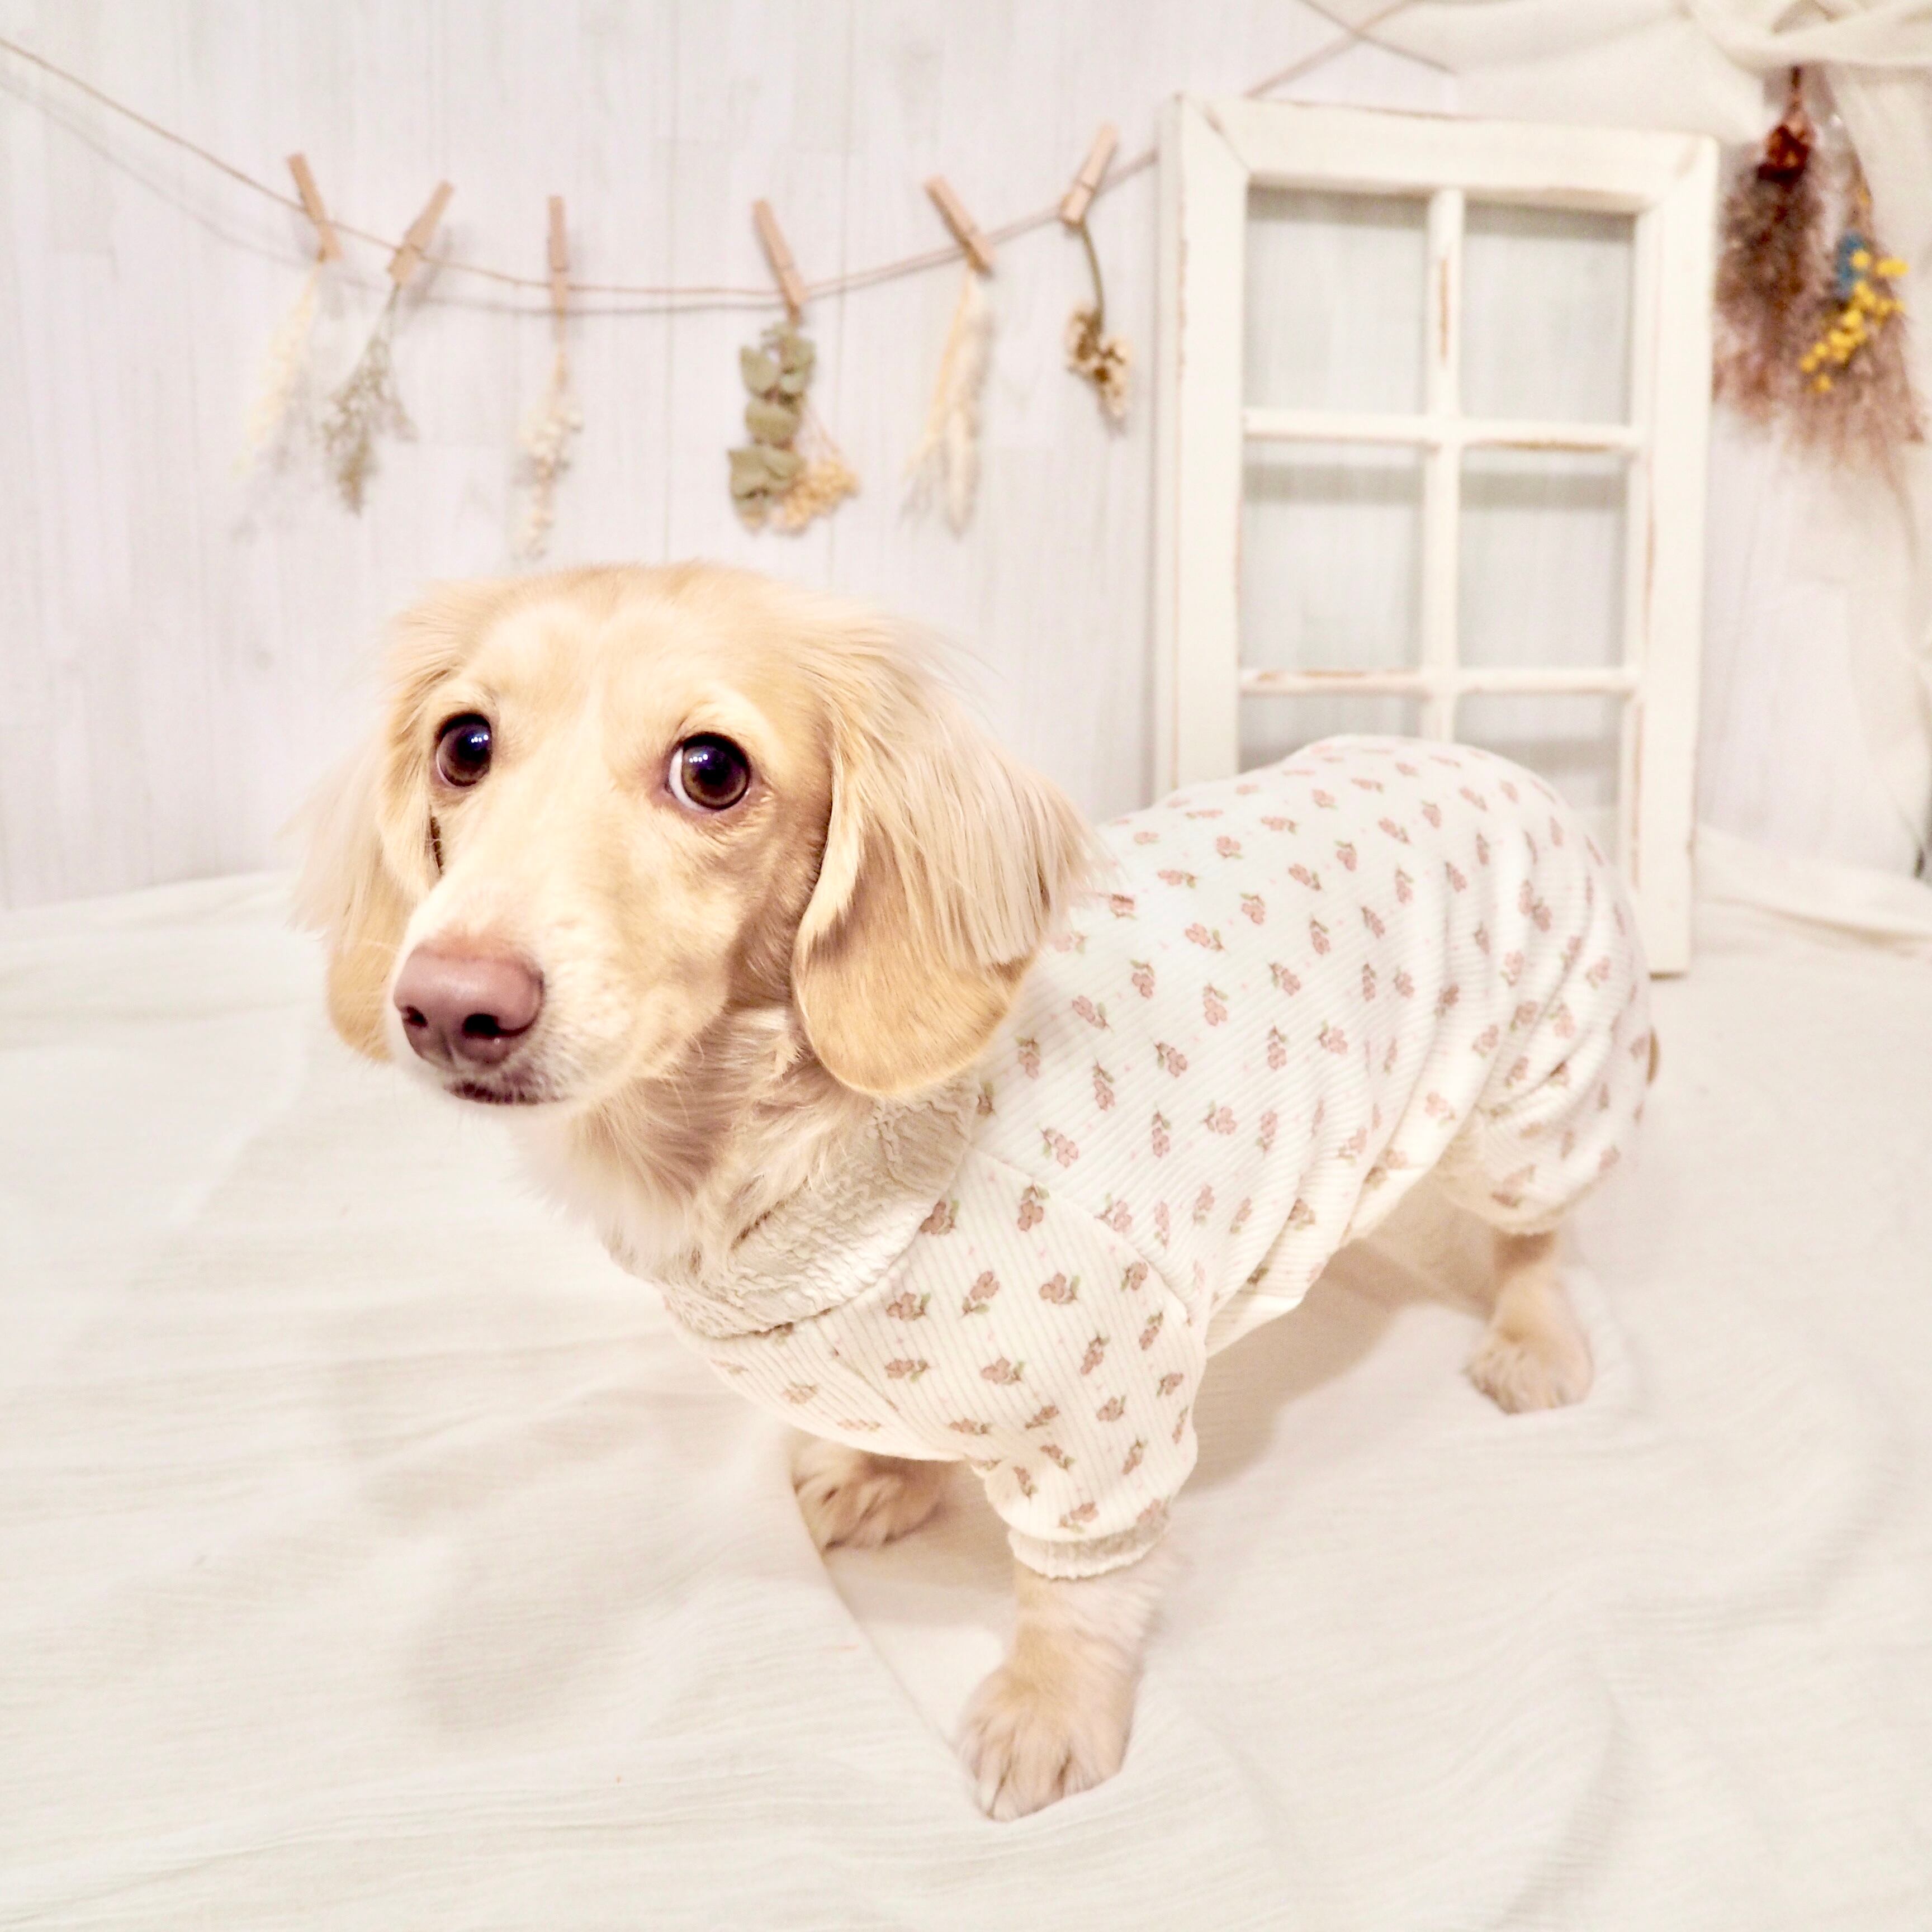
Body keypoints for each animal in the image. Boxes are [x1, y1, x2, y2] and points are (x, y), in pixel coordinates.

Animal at [298, 562, 1652, 1820]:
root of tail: (1494, 762)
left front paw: (1051, 1712)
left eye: (713, 770)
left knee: (1540, 1232)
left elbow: (1074, 1592)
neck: (806, 1150)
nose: (449, 1004)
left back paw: (1535, 1339)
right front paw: (884, 1476)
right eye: (464, 745)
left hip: (1536, 1097)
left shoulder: (1108, 1418)